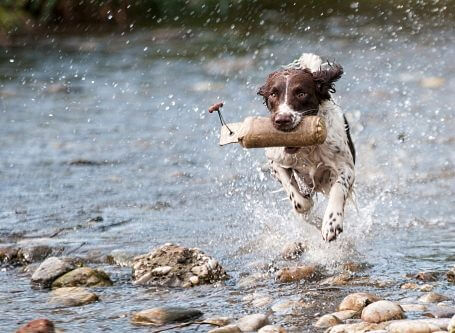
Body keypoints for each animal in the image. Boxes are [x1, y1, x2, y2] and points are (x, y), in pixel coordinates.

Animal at [258, 52, 354, 241]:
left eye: (301, 93)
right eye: (273, 94)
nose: (282, 120)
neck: (307, 149)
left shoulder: (346, 167)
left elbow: (339, 188)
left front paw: (331, 223)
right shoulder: (276, 161)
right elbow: (299, 201)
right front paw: (309, 211)